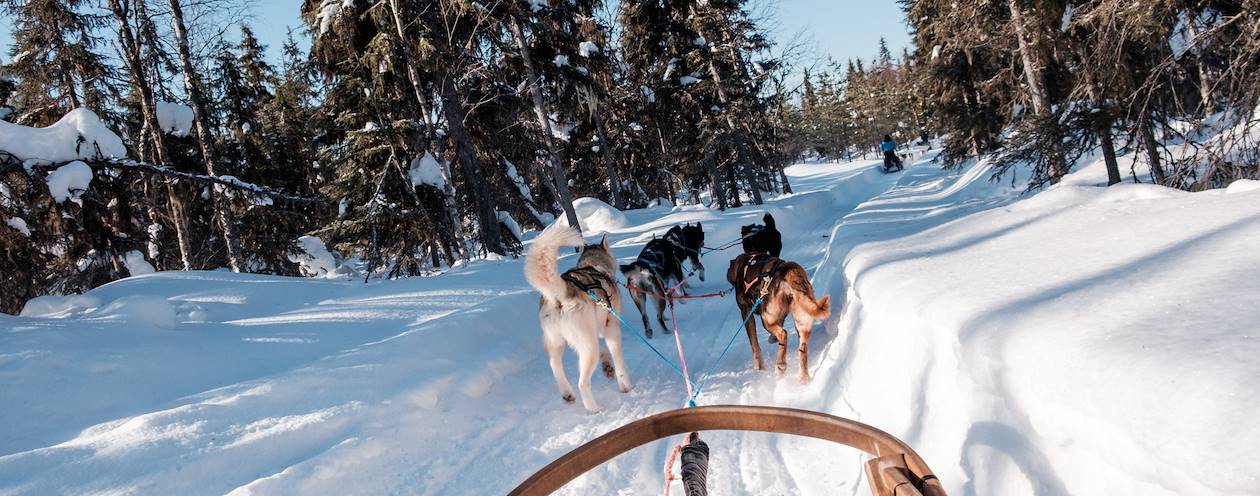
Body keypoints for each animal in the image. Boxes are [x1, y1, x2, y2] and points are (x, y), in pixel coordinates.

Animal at [524, 224, 630, 410]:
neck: (593, 266)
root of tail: (561, 292)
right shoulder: (611, 329)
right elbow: (619, 362)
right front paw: (625, 386)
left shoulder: (595, 331)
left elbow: (605, 353)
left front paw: (607, 366)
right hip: (588, 347)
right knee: (582, 383)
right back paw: (594, 408)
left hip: (558, 342)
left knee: (554, 364)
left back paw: (567, 393)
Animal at [725, 254, 831, 382]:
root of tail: (787, 270)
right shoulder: (780, 317)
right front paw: (772, 338)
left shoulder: (746, 312)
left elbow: (754, 344)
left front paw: (759, 367)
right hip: (802, 319)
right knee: (802, 347)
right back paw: (803, 377)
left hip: (766, 318)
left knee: (783, 333)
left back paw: (781, 364)